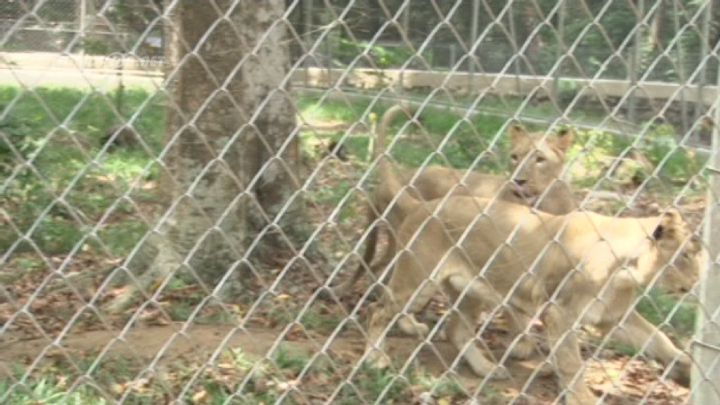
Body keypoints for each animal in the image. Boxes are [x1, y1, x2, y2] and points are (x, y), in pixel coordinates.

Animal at [363, 164, 704, 404]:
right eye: (686, 255)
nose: (697, 282)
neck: (629, 271)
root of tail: (421, 204)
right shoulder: (560, 311)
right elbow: (570, 362)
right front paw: (582, 398)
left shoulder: (613, 317)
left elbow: (660, 340)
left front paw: (688, 367)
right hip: (417, 279)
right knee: (379, 312)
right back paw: (375, 359)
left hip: (470, 289)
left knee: (456, 330)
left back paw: (487, 369)